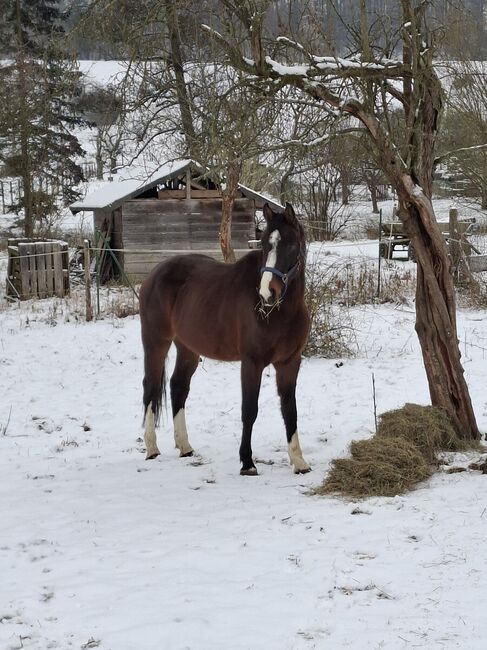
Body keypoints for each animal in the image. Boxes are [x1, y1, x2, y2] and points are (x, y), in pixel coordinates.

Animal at [139, 202, 311, 475]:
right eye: (265, 244)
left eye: (292, 246)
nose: (267, 293)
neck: (280, 312)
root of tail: (155, 273)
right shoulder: (251, 363)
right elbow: (249, 410)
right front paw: (247, 462)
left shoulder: (290, 362)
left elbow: (289, 409)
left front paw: (299, 461)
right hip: (156, 342)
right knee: (151, 387)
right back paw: (152, 448)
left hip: (188, 348)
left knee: (178, 387)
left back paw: (185, 446)